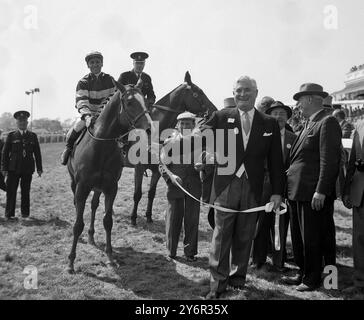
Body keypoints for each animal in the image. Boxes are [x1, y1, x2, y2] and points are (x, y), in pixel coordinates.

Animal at [66, 82, 151, 272]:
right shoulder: (82, 187)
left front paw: (110, 256)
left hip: (98, 188)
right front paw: (71, 262)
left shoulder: (111, 187)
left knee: (94, 205)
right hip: (75, 183)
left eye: (145, 100)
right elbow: (77, 224)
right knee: (78, 206)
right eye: (129, 102)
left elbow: (107, 221)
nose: (149, 128)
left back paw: (91, 236)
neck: (100, 146)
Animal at [126, 70, 218, 225]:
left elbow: (151, 193)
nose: (214, 111)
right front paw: (133, 218)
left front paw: (149, 216)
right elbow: (137, 194)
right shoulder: (139, 168)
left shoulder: (157, 170)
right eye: (198, 92)